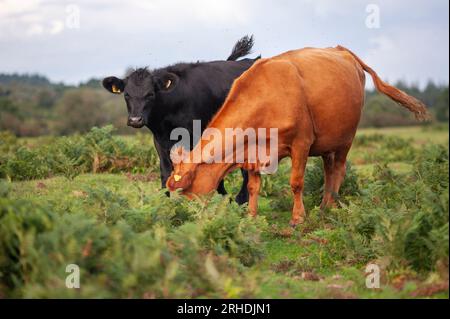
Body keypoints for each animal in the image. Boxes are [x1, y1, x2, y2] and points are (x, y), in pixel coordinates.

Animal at [101, 35, 256, 205]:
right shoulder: (160, 142)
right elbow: (165, 173)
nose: (135, 120)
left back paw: (241, 200)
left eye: (150, 94)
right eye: (127, 95)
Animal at [166, 45, 428, 228]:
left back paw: (331, 205)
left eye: (187, 191)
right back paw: (323, 205)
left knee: (339, 169)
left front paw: (297, 218)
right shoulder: (253, 153)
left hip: (346, 139)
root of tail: (342, 50)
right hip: (327, 144)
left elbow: (296, 183)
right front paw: (251, 216)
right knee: (328, 170)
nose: (189, 221)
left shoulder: (301, 144)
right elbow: (252, 186)